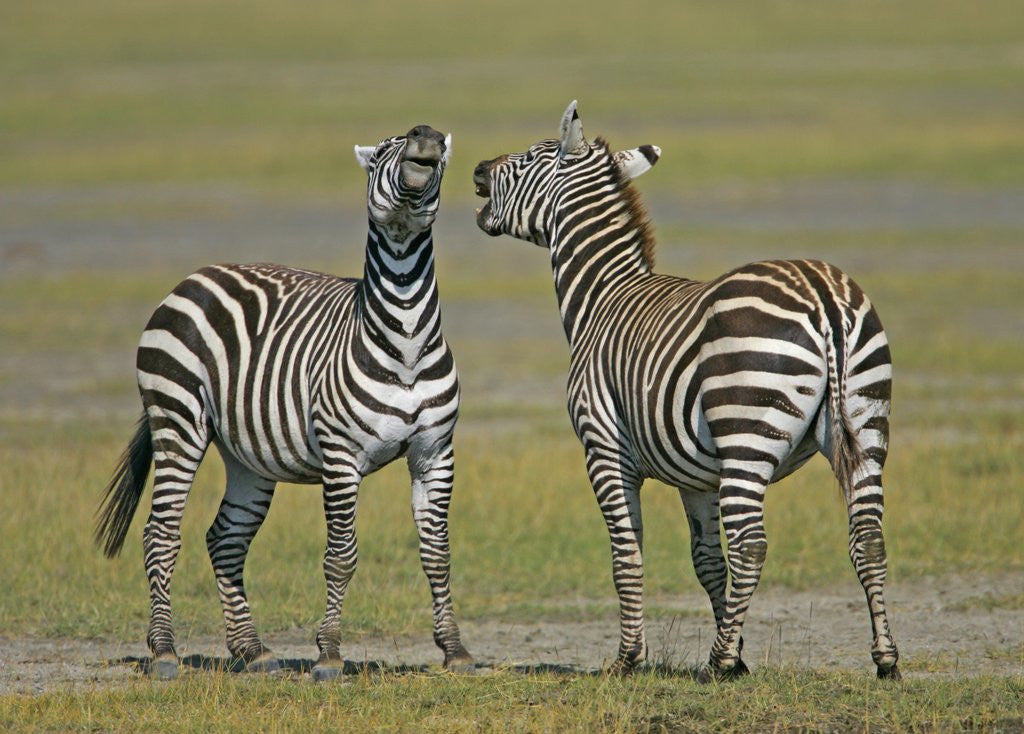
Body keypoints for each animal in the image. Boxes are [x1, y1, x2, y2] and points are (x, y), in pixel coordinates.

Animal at [96, 124, 474, 681]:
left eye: (439, 152)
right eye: (384, 151)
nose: (423, 135)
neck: (405, 339)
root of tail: (197, 275)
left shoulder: (435, 452)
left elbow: (437, 553)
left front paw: (454, 650)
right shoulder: (341, 457)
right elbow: (341, 556)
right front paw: (329, 655)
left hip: (246, 454)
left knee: (225, 539)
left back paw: (252, 651)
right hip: (178, 419)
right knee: (161, 532)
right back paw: (164, 652)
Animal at [473, 101, 900, 681]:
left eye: (529, 158)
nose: (476, 170)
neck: (601, 297)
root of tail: (822, 296)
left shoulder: (603, 450)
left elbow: (626, 555)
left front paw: (633, 658)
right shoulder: (697, 478)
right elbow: (707, 562)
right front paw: (738, 653)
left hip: (748, 435)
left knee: (751, 546)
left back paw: (713, 664)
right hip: (865, 425)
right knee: (869, 540)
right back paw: (885, 659)